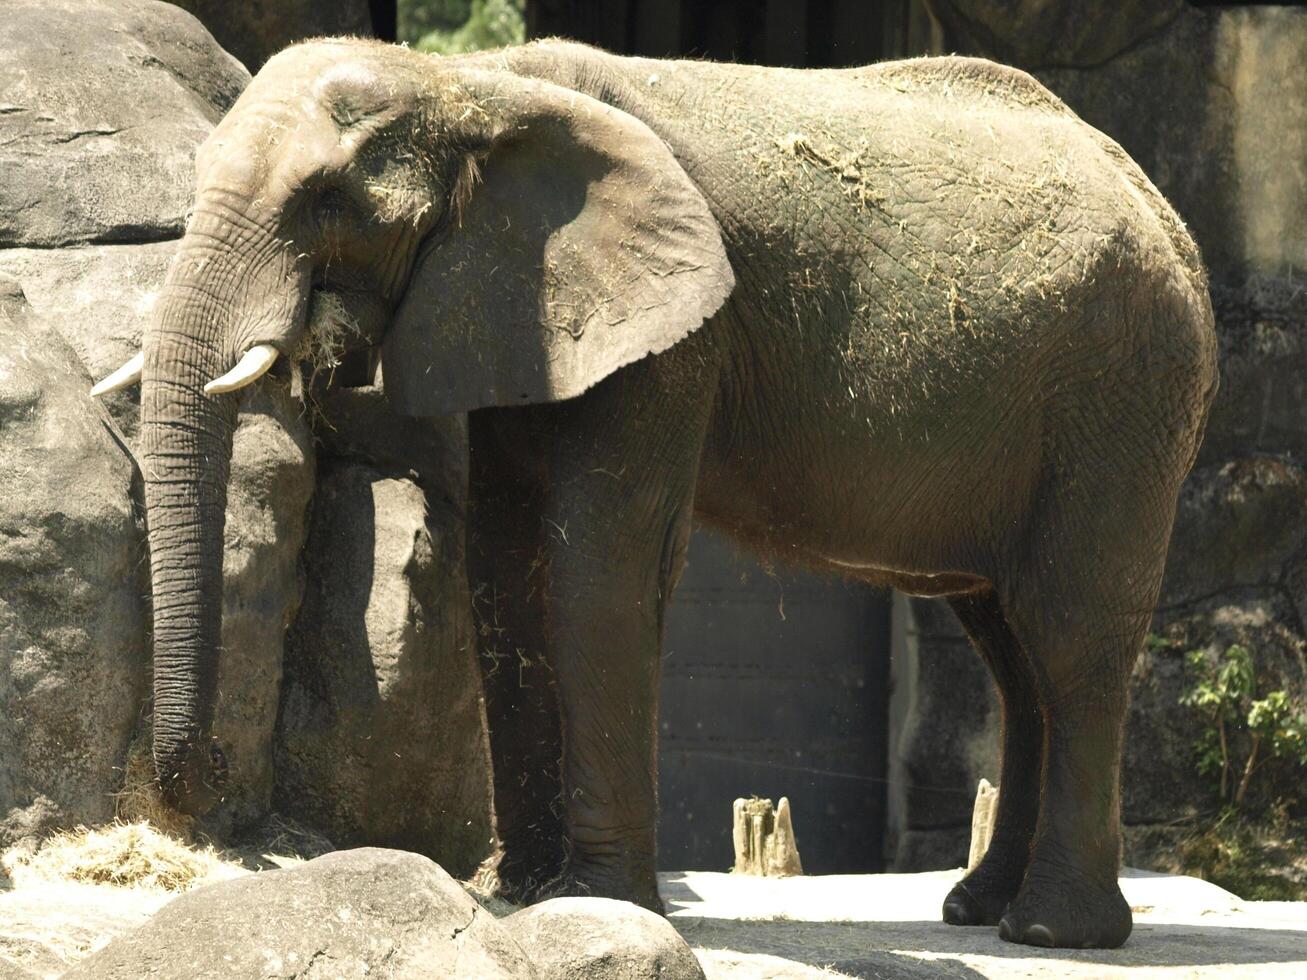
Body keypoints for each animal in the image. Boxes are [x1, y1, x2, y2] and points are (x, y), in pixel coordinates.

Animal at [92, 40, 1212, 951]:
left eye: (327, 203)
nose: (193, 791)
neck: (474, 84)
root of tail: (1158, 203)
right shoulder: (515, 301)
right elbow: (500, 565)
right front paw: (519, 891)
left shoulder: (675, 334)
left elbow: (601, 560)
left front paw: (595, 898)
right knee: (1007, 645)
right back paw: (975, 908)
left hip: (1122, 395)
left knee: (1069, 637)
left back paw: (1052, 931)